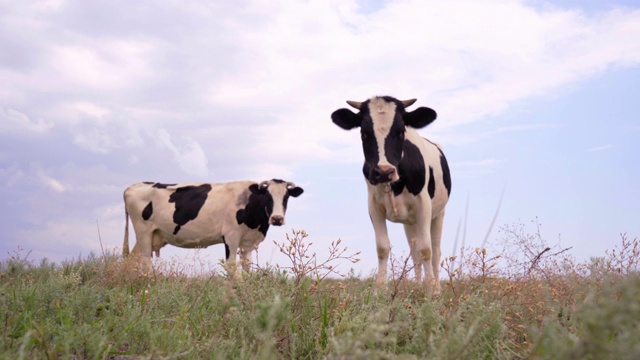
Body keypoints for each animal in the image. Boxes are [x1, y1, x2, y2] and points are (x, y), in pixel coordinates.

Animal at [125, 178, 304, 276]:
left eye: (286, 197)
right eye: (267, 196)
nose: (277, 218)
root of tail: (131, 187)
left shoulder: (248, 242)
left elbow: (247, 268)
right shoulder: (231, 237)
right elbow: (232, 268)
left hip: (152, 235)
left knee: (134, 259)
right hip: (143, 232)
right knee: (145, 262)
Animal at [332, 96, 452, 296]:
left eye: (400, 131)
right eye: (364, 133)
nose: (384, 171)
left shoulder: (424, 206)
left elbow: (426, 249)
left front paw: (431, 291)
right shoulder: (374, 206)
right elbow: (382, 247)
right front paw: (379, 290)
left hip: (439, 214)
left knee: (435, 251)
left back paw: (437, 287)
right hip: (409, 223)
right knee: (414, 253)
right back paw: (417, 286)